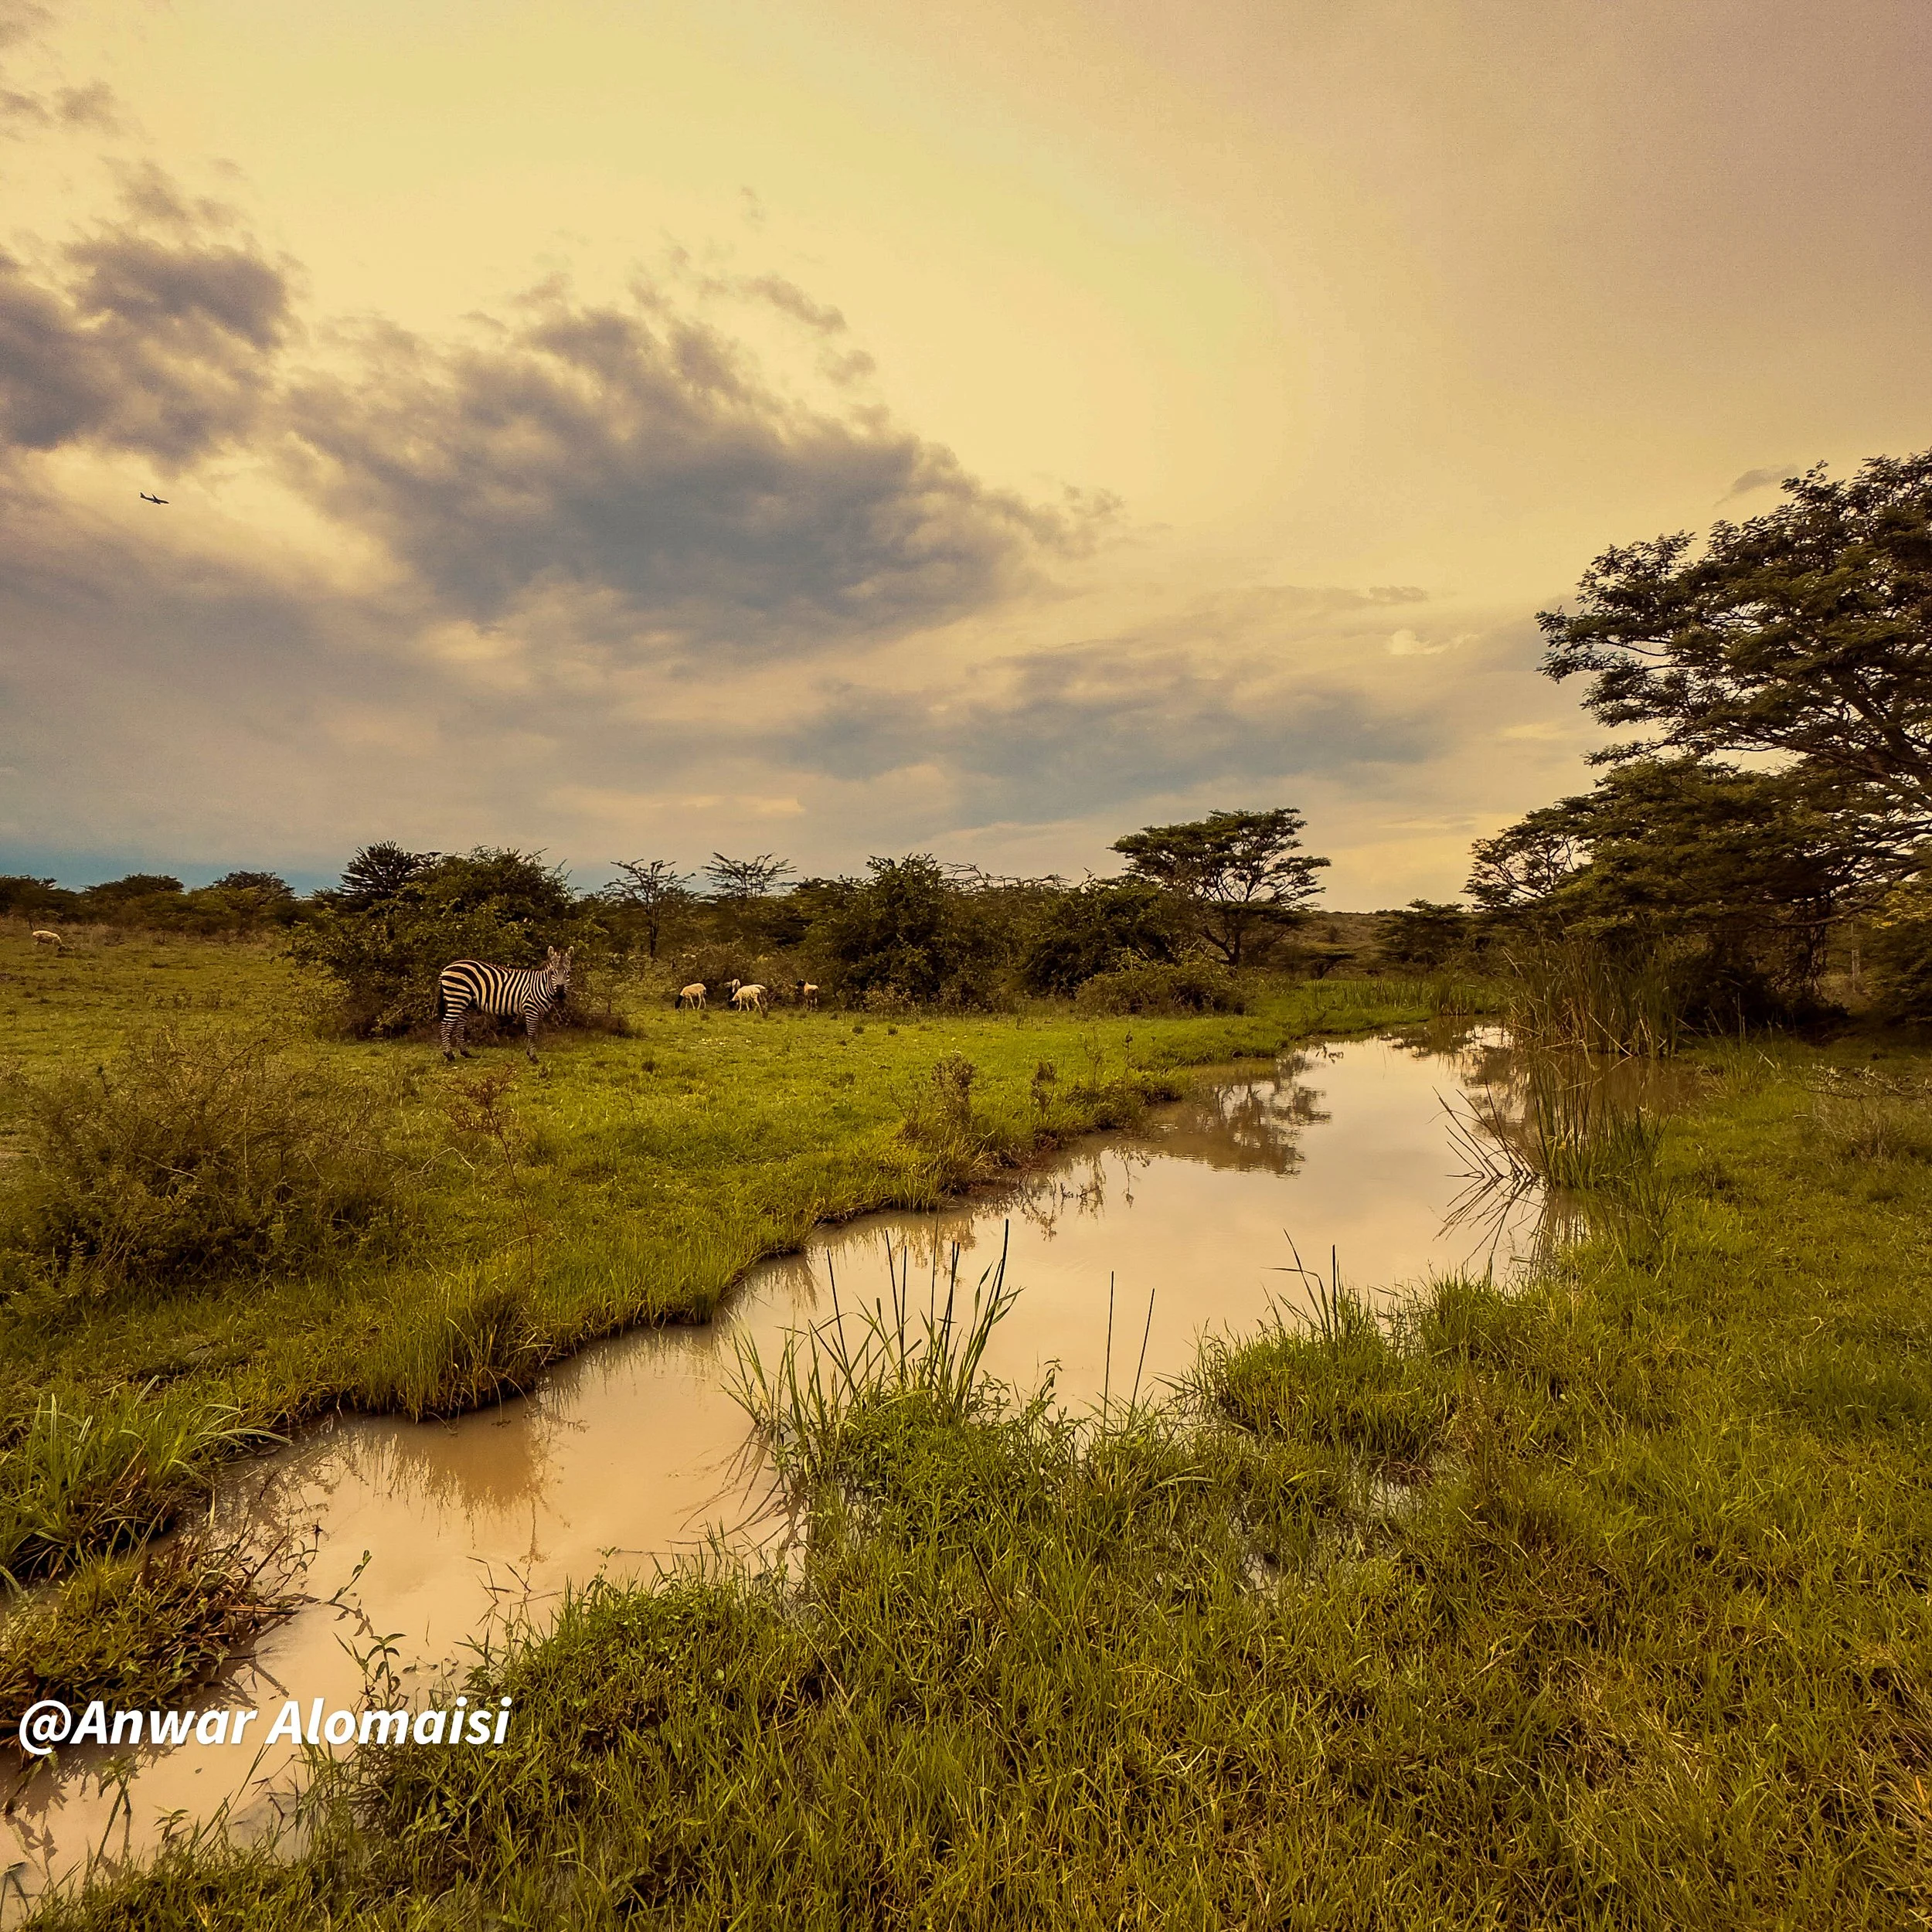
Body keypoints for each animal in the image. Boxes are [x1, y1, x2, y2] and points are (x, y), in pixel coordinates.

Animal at [438, 948, 573, 1064]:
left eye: (568, 973)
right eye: (553, 973)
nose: (560, 994)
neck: (541, 985)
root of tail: (446, 968)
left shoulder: (538, 1012)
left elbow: (534, 1032)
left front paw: (529, 1053)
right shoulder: (531, 1009)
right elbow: (532, 1033)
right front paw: (533, 1057)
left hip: (467, 1003)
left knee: (459, 1026)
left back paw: (465, 1053)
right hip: (457, 998)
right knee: (446, 1025)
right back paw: (449, 1055)